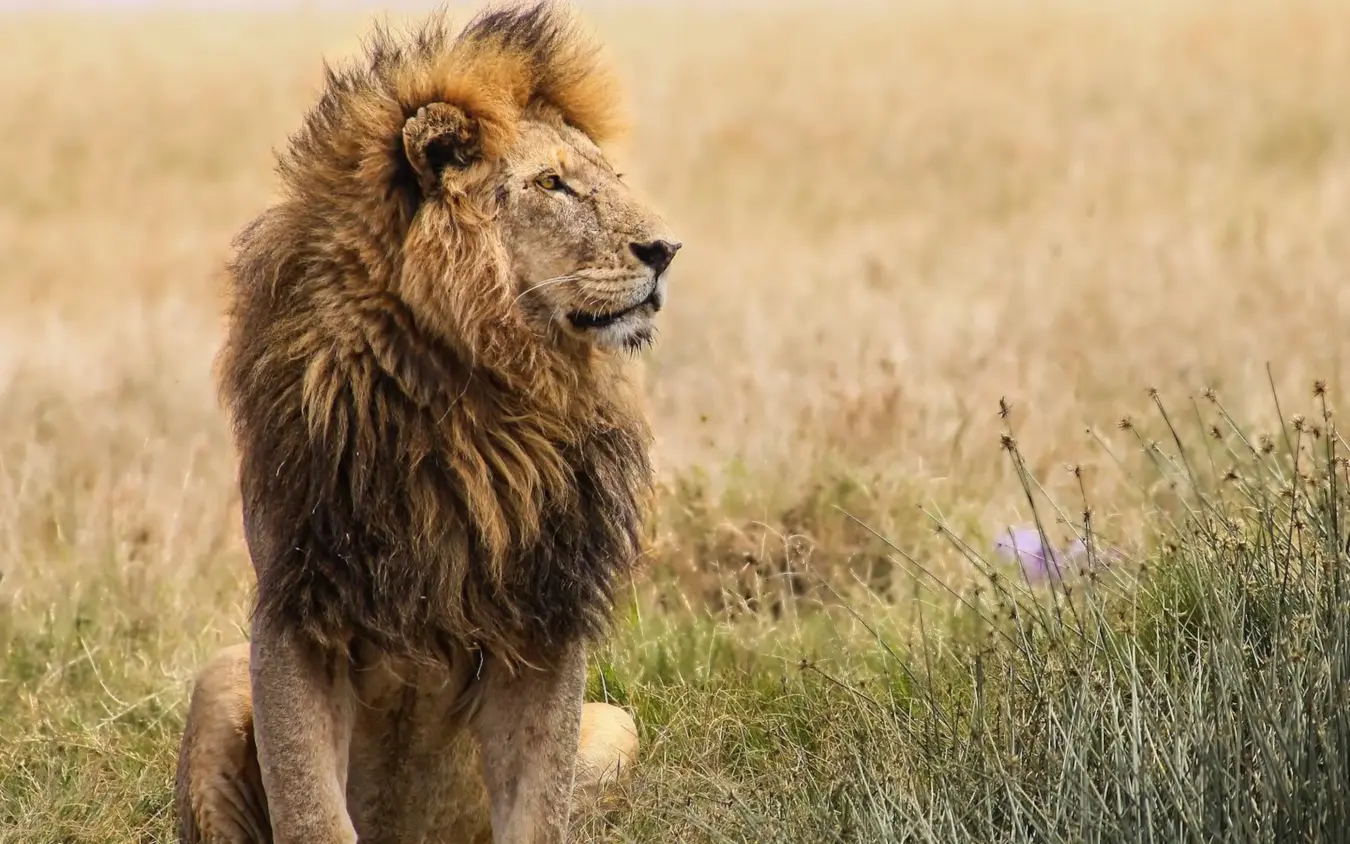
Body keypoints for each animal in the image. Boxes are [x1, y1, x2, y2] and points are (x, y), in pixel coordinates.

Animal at [174, 4, 680, 842]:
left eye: (610, 180)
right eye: (552, 184)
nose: (667, 249)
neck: (468, 388)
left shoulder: (545, 620)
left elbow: (538, 809)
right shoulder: (295, 609)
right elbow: (312, 810)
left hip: (616, 726)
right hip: (218, 681)